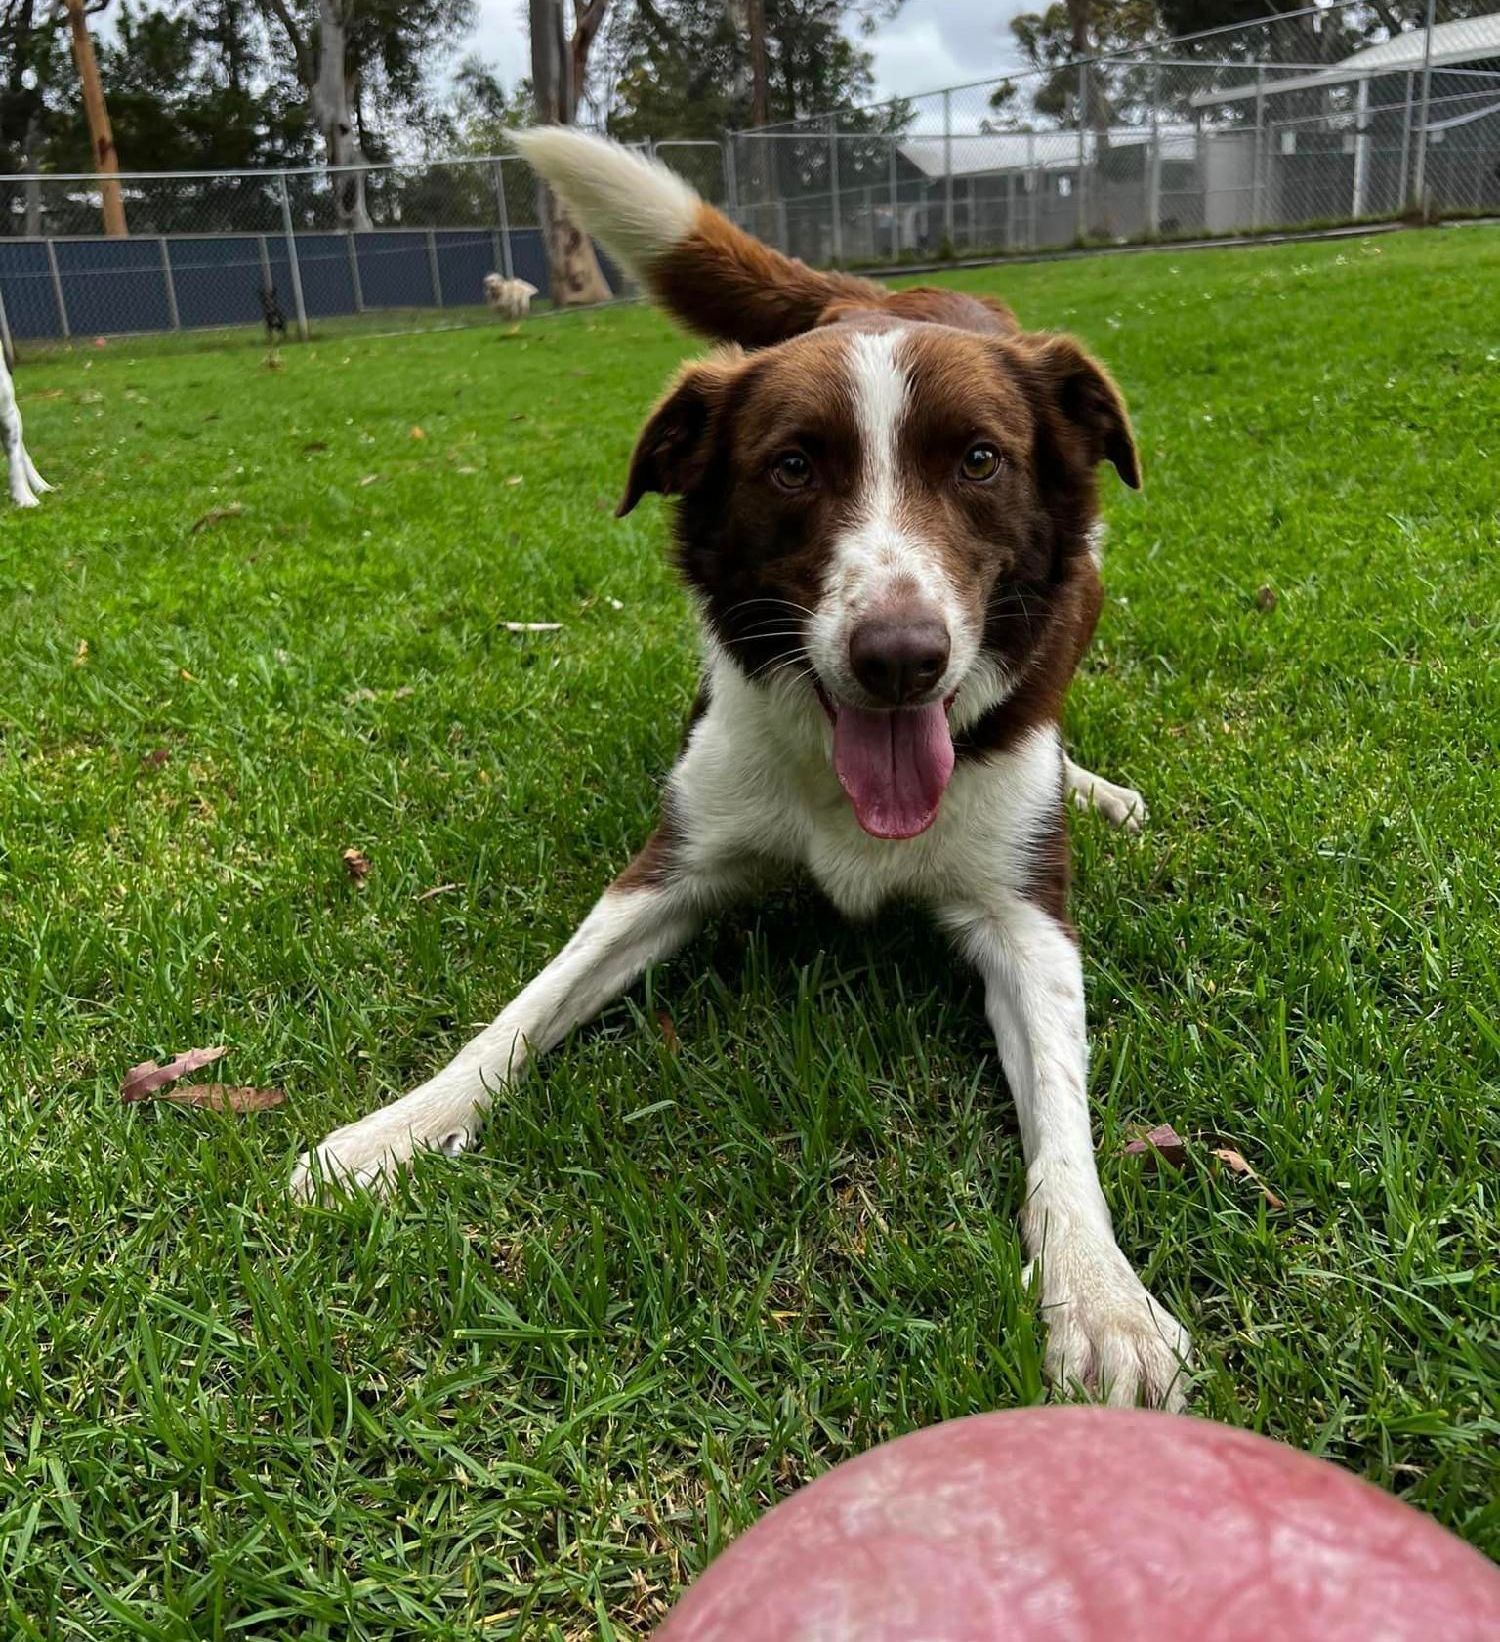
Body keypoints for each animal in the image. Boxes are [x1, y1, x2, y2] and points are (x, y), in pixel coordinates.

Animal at [288, 131, 1181, 1412]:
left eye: (979, 460)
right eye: (794, 467)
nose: (901, 659)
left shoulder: (1027, 920)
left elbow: (1064, 1126)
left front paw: (1101, 1297)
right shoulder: (670, 869)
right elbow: (519, 1014)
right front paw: (392, 1131)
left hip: (1089, 587)